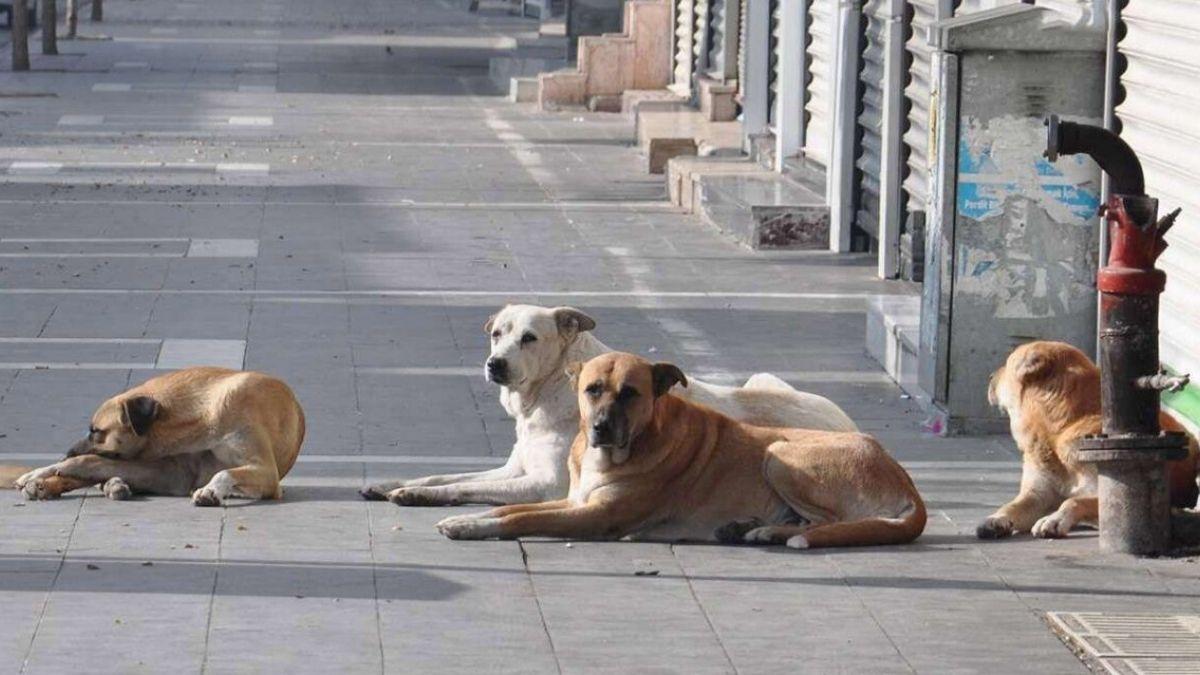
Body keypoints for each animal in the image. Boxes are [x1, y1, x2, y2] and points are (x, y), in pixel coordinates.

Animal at [14, 367, 304, 504]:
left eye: (96, 431)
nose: (67, 452)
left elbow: (224, 472)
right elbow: (88, 463)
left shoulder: (267, 472)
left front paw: (211, 490)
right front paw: (42, 471)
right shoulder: (172, 471)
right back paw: (45, 484)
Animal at [360, 305, 859, 504]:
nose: (494, 364)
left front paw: (417, 496)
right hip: (762, 377)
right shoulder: (512, 468)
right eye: (497, 333)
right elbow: (444, 474)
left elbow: (460, 487)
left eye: (530, 338)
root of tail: (855, 428)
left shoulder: (545, 485)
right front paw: (393, 484)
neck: (545, 396)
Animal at [441, 353, 926, 547]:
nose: (600, 428)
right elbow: (507, 510)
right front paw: (469, 518)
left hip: (780, 454)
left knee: (832, 523)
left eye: (631, 393)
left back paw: (772, 532)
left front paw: (471, 527)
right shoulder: (574, 500)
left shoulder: (594, 516)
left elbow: (519, 519)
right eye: (592, 389)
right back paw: (754, 528)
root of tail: (905, 480)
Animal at [979, 338, 1195, 538]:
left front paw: (1054, 519)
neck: (1061, 429)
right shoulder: (1036, 495)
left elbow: (1073, 500)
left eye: (1007, 364)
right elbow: (1012, 506)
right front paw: (997, 518)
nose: (989, 376)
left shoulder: (1106, 492)